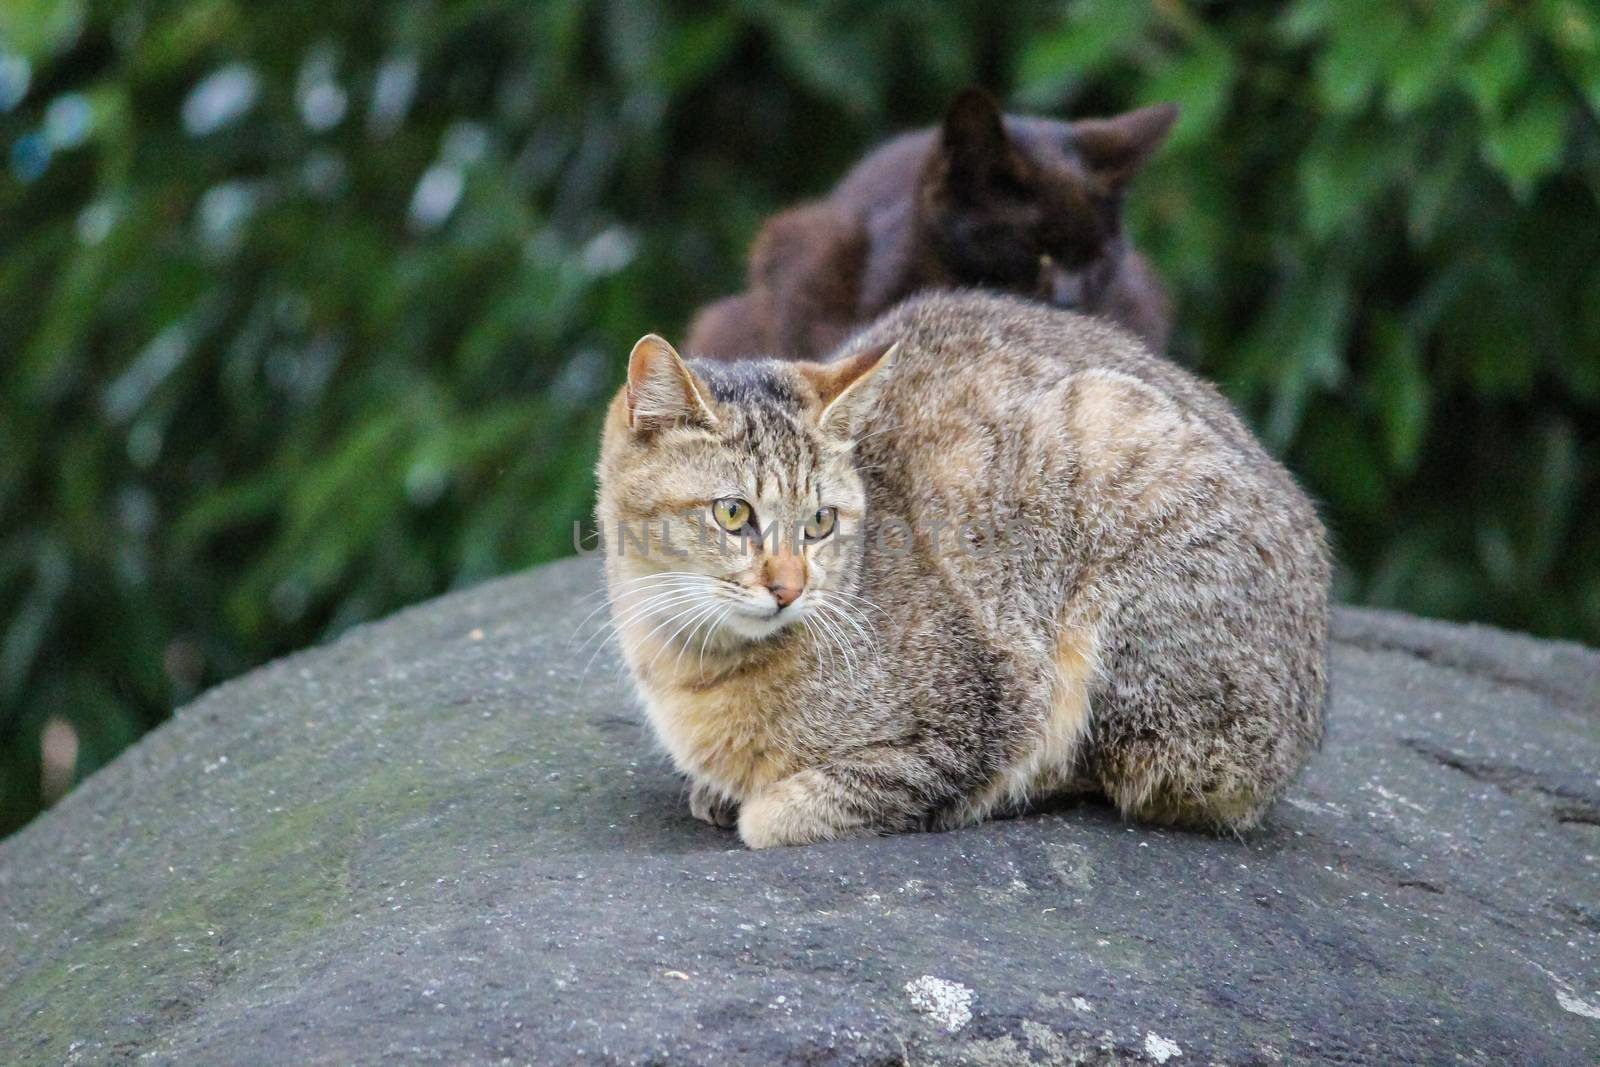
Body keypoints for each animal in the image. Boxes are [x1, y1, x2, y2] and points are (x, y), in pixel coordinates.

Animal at [598, 289, 1324, 844]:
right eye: (732, 513)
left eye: (820, 522)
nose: (789, 588)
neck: (692, 663)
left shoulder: (976, 717)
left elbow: (795, 810)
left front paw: (761, 806)